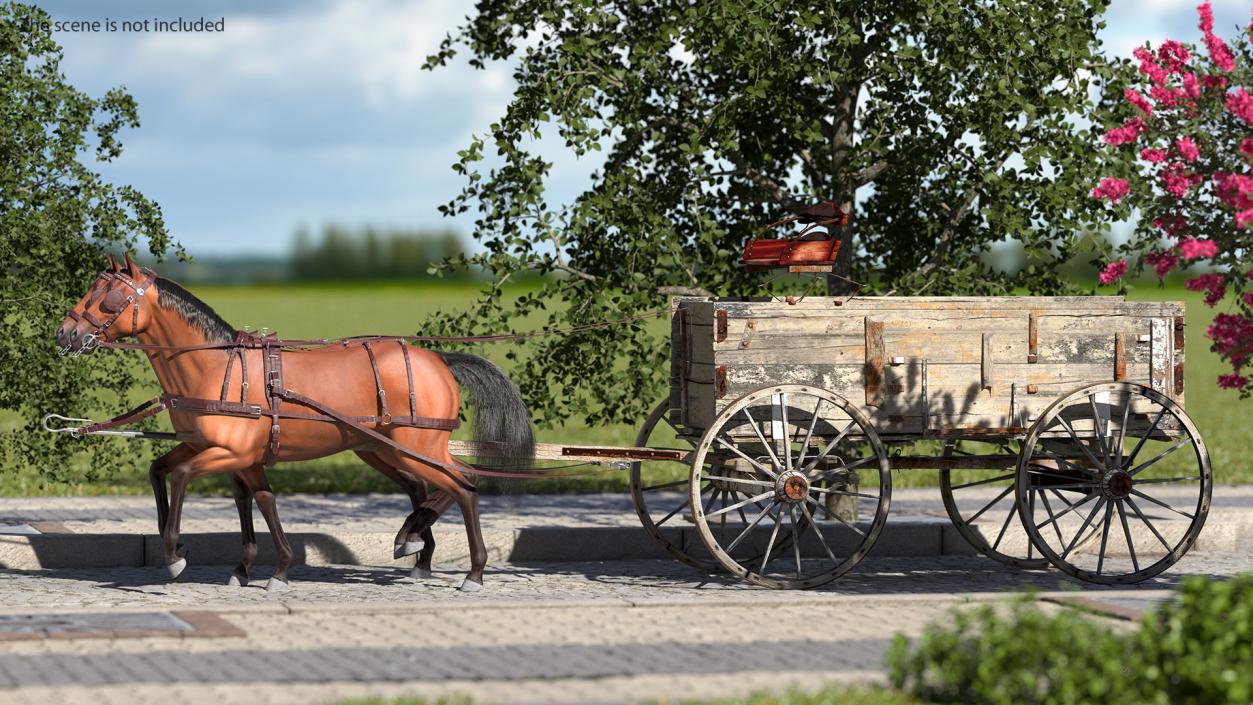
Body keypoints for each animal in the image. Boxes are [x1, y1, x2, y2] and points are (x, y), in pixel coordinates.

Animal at [55, 256, 533, 593]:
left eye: (107, 296)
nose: (66, 334)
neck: (216, 368)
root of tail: (439, 358)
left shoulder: (225, 453)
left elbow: (184, 478)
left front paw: (175, 552)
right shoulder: (224, 452)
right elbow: (236, 495)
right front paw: (260, 568)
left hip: (419, 447)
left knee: (465, 485)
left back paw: (471, 570)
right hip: (379, 448)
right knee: (428, 487)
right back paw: (415, 545)